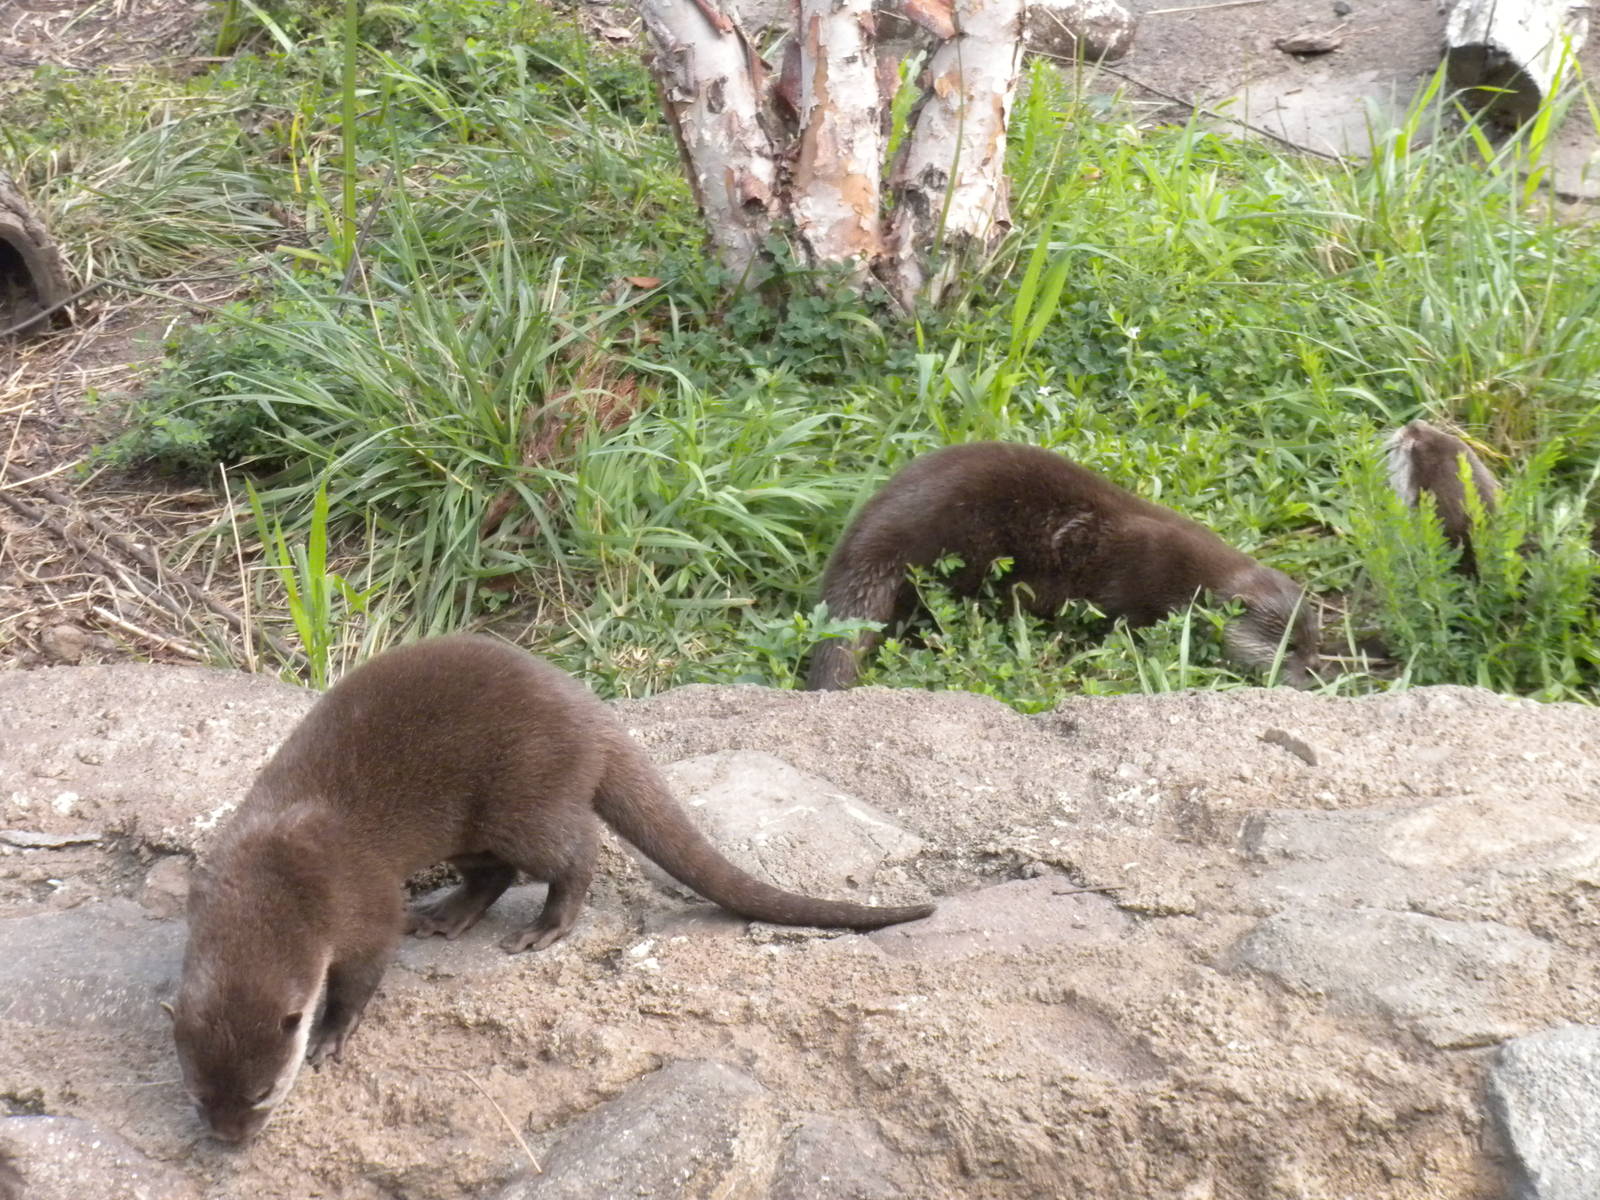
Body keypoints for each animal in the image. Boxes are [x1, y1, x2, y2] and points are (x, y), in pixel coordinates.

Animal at [171, 636, 933, 1143]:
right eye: (200, 1094)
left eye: (263, 1092)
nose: (231, 1142)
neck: (269, 879)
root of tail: (592, 712)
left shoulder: (359, 902)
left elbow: (364, 972)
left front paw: (332, 1034)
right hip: (476, 823)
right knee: (494, 872)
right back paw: (447, 915)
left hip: (525, 796)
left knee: (573, 852)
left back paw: (547, 926)